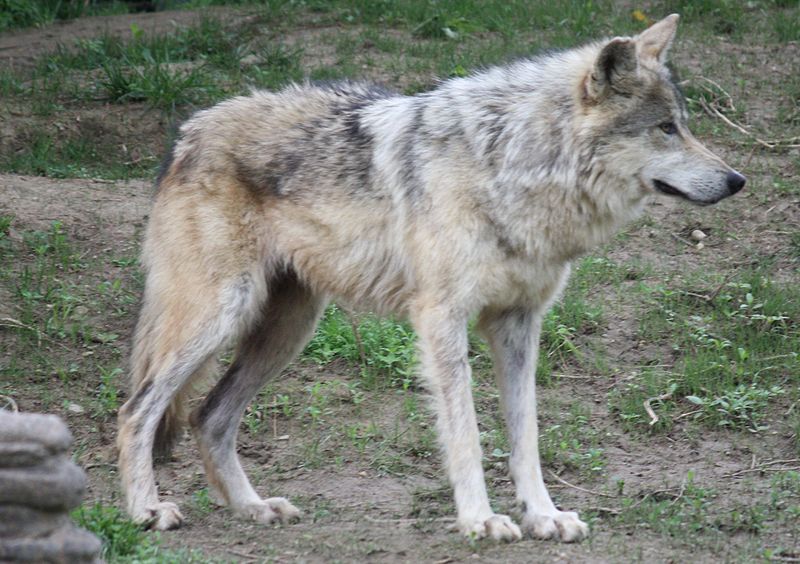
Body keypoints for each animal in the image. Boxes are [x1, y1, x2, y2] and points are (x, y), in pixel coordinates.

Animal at [117, 13, 744, 540]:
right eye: (665, 128)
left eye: (684, 126)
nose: (737, 180)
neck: (513, 166)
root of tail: (188, 131)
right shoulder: (441, 318)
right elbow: (465, 433)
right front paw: (481, 520)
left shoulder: (519, 324)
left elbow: (526, 436)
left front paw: (543, 516)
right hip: (220, 316)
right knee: (136, 410)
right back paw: (146, 510)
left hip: (285, 333)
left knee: (208, 417)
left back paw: (254, 508)